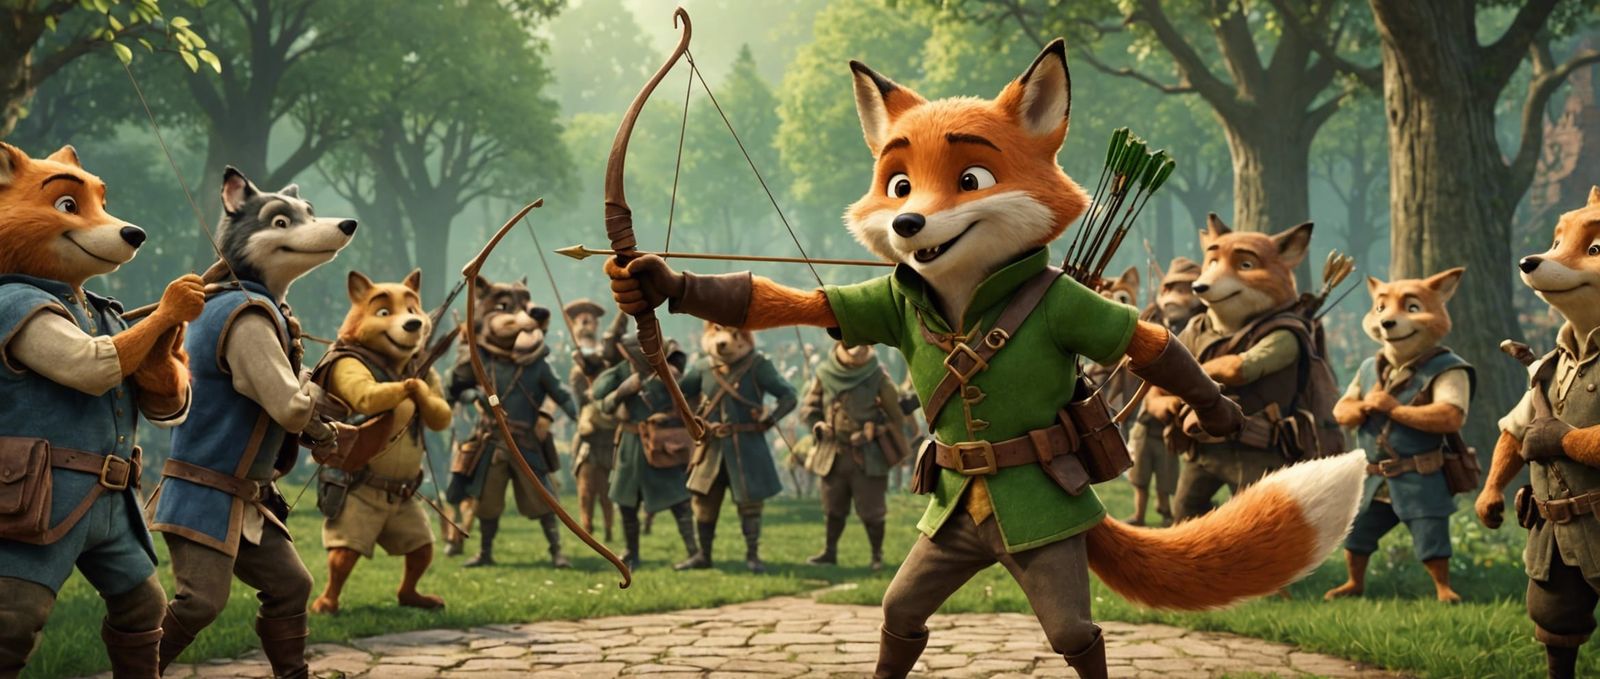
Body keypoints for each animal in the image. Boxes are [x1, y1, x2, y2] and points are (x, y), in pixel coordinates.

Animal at [607, 38, 1362, 678]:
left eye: (972, 178)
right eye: (899, 185)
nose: (908, 224)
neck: (968, 294)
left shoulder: (1064, 304)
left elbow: (1148, 343)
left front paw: (1221, 409)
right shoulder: (891, 298)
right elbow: (806, 304)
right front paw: (656, 282)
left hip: (1049, 544)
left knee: (1074, 633)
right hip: (945, 545)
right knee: (902, 615)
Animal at [1326, 269, 1472, 604]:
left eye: (1412, 307)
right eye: (1380, 307)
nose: (1386, 323)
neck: (1401, 362)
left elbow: (1448, 411)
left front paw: (1382, 401)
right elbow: (1343, 406)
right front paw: (1366, 403)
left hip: (1425, 507)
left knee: (1431, 542)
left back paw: (1446, 593)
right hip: (1369, 505)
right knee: (1358, 540)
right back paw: (1350, 588)